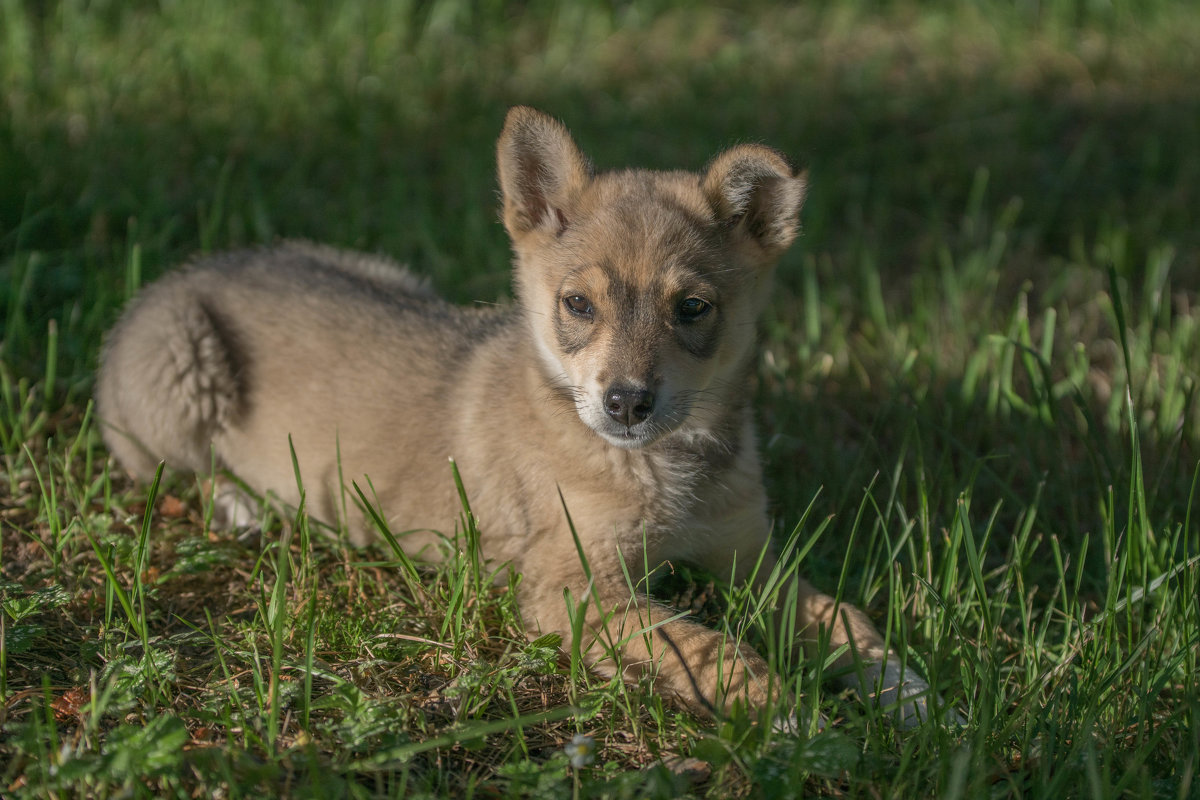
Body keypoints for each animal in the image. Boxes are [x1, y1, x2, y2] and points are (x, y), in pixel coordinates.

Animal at [98, 104, 945, 724]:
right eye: (578, 304)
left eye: (693, 308)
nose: (626, 401)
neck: (664, 472)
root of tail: (189, 268)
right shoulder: (570, 589)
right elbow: (704, 645)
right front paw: (785, 714)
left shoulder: (751, 559)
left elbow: (841, 617)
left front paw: (906, 690)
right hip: (175, 382)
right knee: (169, 472)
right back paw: (243, 505)